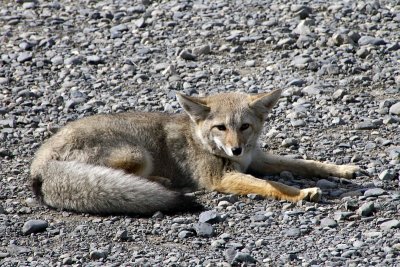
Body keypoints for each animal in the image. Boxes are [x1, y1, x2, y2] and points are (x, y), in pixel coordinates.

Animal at [29, 90, 364, 216]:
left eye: (244, 126)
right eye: (220, 127)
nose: (235, 148)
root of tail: (40, 164)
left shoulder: (256, 158)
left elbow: (305, 163)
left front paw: (341, 170)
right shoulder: (221, 178)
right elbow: (273, 185)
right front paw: (302, 193)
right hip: (138, 153)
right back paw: (161, 183)